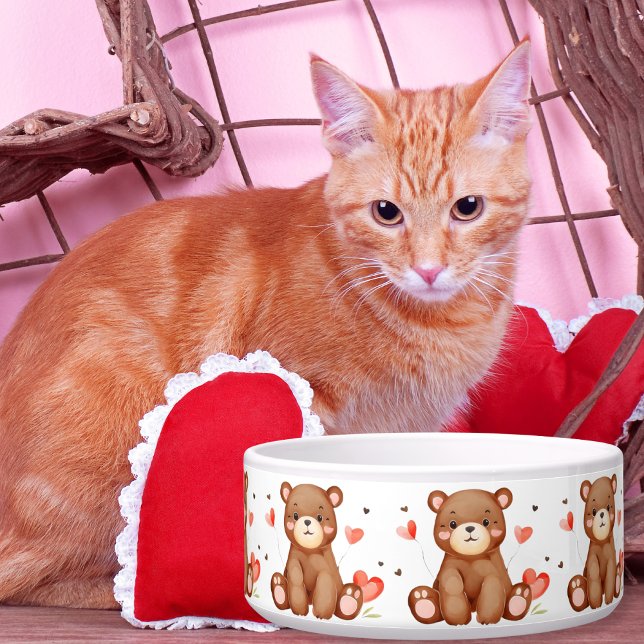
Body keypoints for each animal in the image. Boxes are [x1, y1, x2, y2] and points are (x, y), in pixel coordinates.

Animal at [270, 482, 363, 620]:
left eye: (320, 517)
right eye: (295, 515)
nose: (307, 521)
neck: (309, 551)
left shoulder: (326, 567)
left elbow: (325, 580)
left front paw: (322, 614)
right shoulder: (294, 559)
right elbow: (295, 577)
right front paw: (299, 609)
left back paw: (350, 597)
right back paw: (278, 587)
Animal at [408, 488, 532, 626]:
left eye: (486, 521)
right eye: (452, 524)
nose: (470, 527)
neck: (470, 558)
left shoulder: (489, 569)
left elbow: (492, 584)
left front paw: (488, 618)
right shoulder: (450, 567)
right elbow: (451, 582)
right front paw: (458, 617)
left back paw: (520, 597)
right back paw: (422, 599)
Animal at [568, 474, 622, 611]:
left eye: (609, 507)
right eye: (593, 511)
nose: (602, 513)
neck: (601, 544)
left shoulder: (611, 557)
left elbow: (610, 575)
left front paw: (608, 601)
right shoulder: (592, 558)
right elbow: (593, 574)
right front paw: (596, 604)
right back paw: (577, 589)